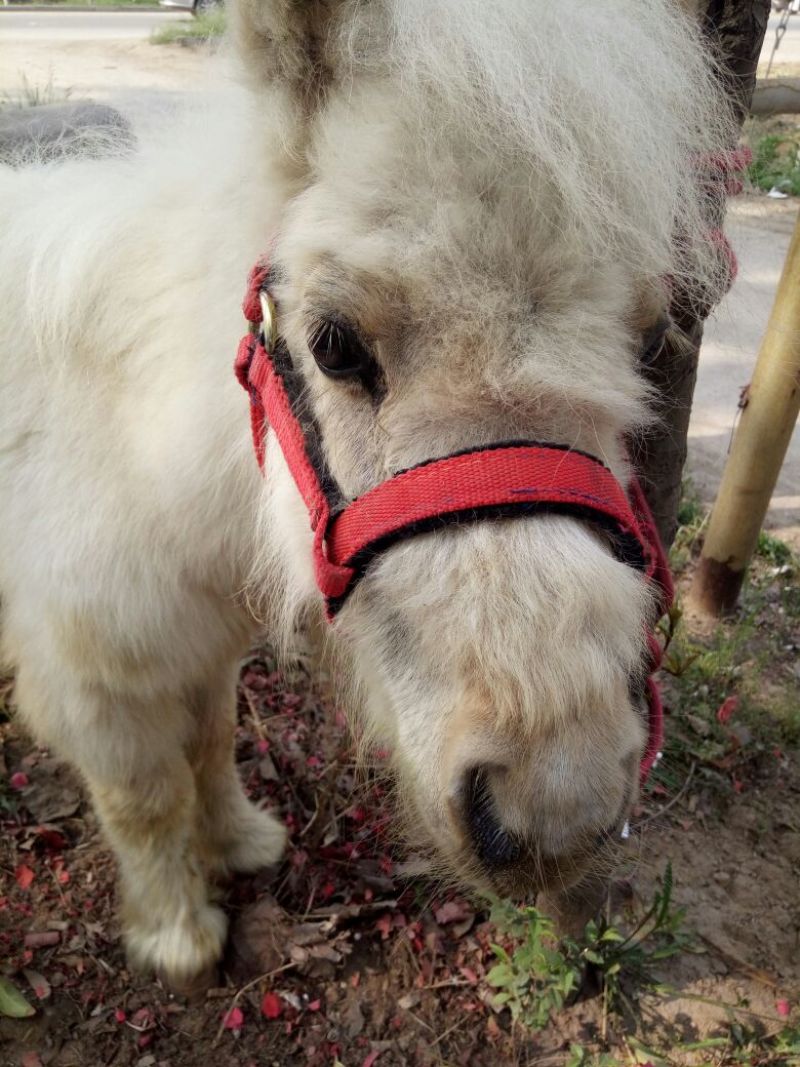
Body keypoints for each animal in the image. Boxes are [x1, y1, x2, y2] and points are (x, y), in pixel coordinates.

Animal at [0, 0, 734, 988]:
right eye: (336, 342)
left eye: (653, 337)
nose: (555, 798)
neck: (129, 433)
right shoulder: (99, 682)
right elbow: (147, 798)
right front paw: (178, 935)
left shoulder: (208, 649)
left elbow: (211, 737)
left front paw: (241, 841)